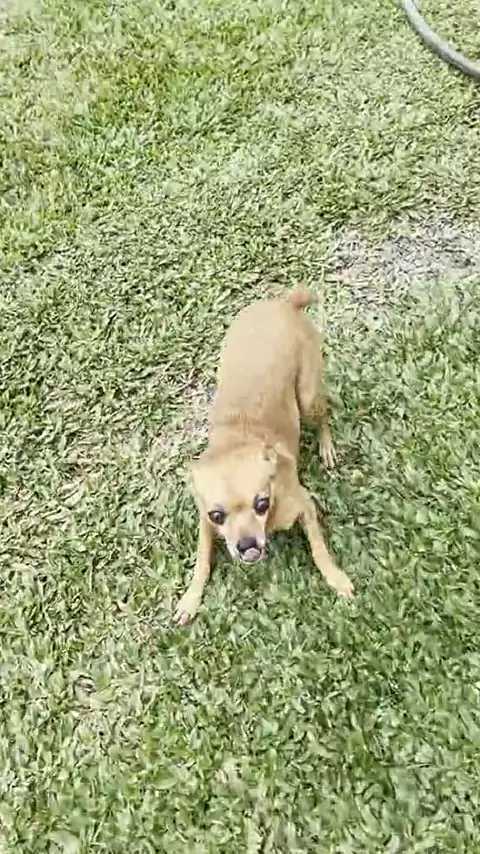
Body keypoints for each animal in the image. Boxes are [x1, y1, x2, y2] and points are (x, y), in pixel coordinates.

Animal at [174, 289, 354, 625]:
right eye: (216, 515)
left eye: (262, 504)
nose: (246, 545)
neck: (237, 442)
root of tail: (284, 302)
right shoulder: (203, 522)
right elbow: (201, 560)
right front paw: (190, 598)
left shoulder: (305, 506)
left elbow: (319, 550)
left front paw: (336, 579)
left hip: (308, 396)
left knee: (324, 415)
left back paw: (326, 448)